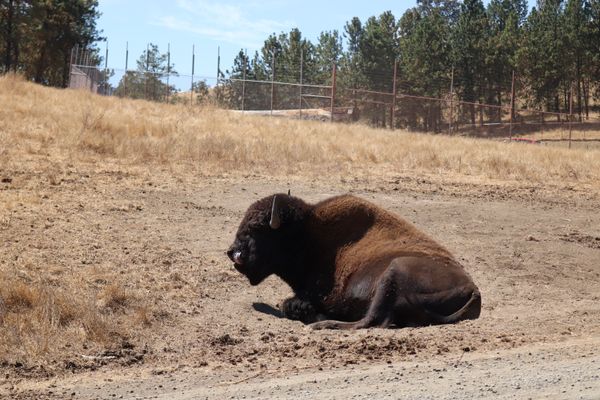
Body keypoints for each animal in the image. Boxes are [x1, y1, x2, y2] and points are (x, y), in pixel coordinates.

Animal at [226, 192, 482, 330]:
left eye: (256, 226)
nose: (232, 252)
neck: (307, 234)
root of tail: (474, 290)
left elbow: (288, 304)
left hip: (394, 272)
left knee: (371, 321)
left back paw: (322, 324)